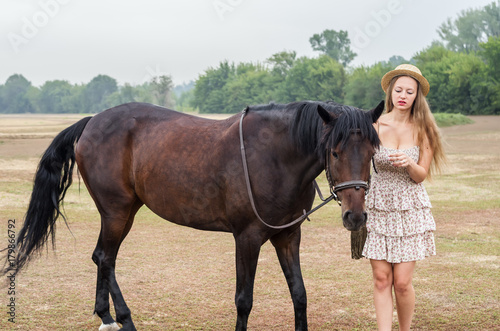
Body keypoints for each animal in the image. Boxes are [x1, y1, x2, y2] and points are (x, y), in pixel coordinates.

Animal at [4, 100, 382, 330]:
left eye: (371, 152)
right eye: (334, 152)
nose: (355, 216)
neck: (274, 156)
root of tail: (91, 122)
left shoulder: (288, 236)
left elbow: (299, 294)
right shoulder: (247, 238)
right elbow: (244, 300)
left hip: (124, 212)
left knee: (101, 258)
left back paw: (108, 317)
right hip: (116, 212)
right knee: (105, 258)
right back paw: (124, 319)